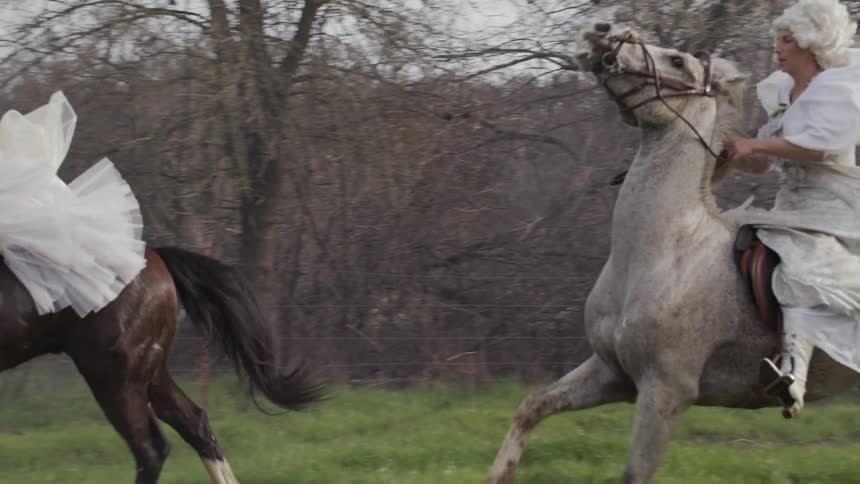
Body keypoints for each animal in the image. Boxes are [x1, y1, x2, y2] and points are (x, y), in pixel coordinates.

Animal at [486, 24, 860, 484]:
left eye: (677, 61)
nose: (602, 33)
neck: (663, 252)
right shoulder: (611, 373)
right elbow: (532, 407)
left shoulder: (666, 390)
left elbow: (634, 474)